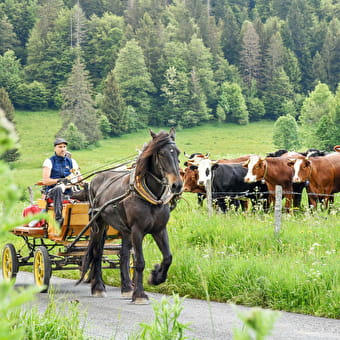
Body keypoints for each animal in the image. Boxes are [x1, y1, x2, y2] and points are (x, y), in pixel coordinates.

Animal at [78, 129, 183, 304]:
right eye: (161, 154)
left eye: (178, 152)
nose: (177, 185)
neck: (150, 196)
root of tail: (94, 180)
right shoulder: (137, 230)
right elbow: (139, 262)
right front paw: (140, 294)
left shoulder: (159, 230)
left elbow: (168, 257)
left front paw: (155, 277)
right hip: (98, 223)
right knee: (97, 252)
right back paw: (98, 287)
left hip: (123, 229)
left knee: (124, 255)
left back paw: (126, 287)